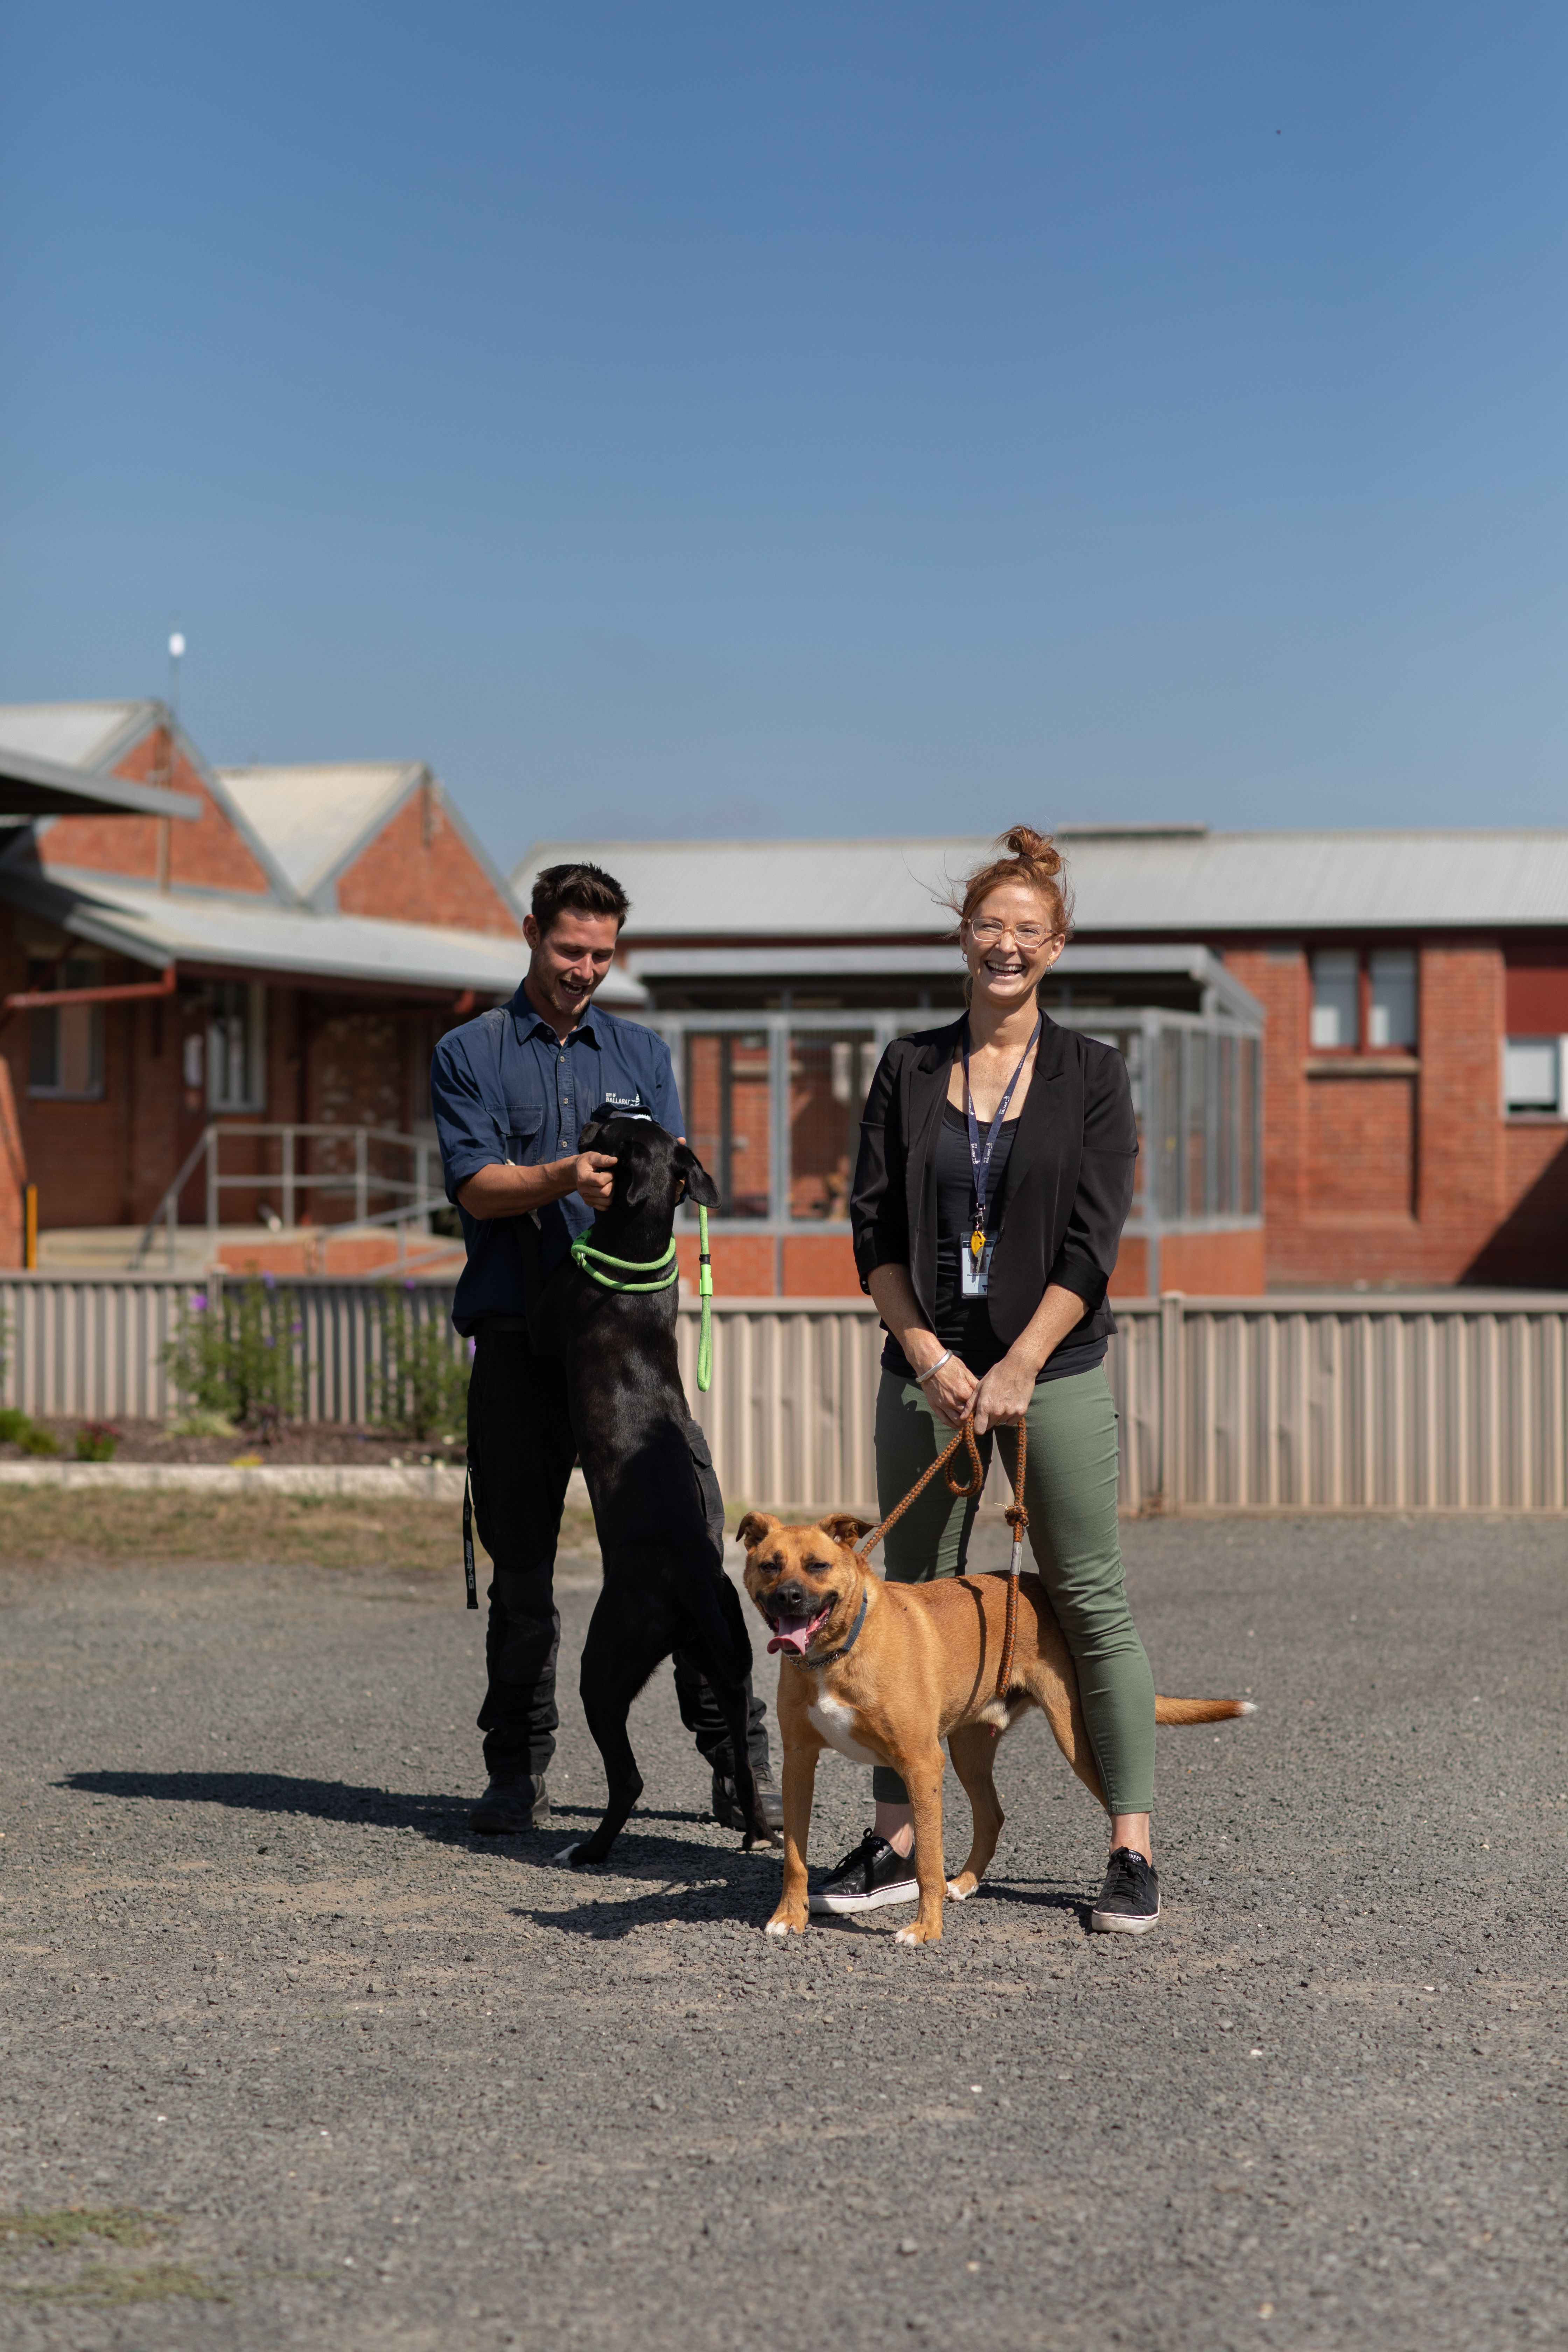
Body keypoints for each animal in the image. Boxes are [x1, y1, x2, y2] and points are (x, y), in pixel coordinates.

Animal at [743, 1505, 1260, 1947]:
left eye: (817, 1565)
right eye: (770, 1565)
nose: (788, 1597)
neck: (837, 1652)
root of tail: (1034, 1584)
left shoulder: (921, 1764)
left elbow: (928, 1862)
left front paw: (926, 1930)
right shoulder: (799, 1764)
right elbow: (794, 1859)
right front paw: (790, 1917)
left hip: (1072, 1739)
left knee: (1113, 1801)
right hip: (967, 1750)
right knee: (992, 1815)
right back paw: (966, 1883)